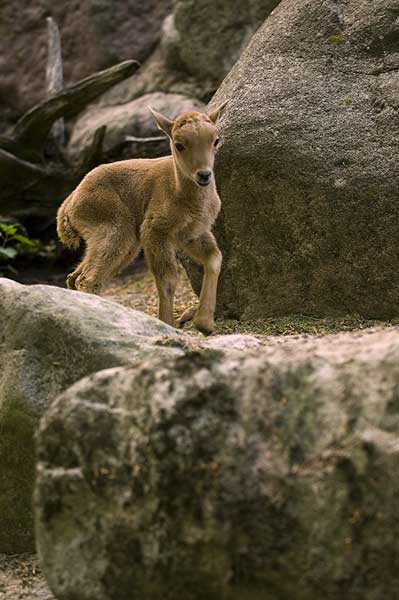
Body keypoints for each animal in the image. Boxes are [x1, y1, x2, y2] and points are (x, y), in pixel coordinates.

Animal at [57, 105, 230, 336]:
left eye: (216, 140)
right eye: (179, 144)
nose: (203, 175)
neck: (179, 191)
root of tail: (68, 205)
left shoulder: (192, 235)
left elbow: (214, 259)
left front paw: (204, 324)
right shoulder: (155, 232)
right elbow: (167, 279)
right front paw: (167, 325)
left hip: (123, 245)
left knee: (76, 276)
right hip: (115, 231)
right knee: (89, 279)